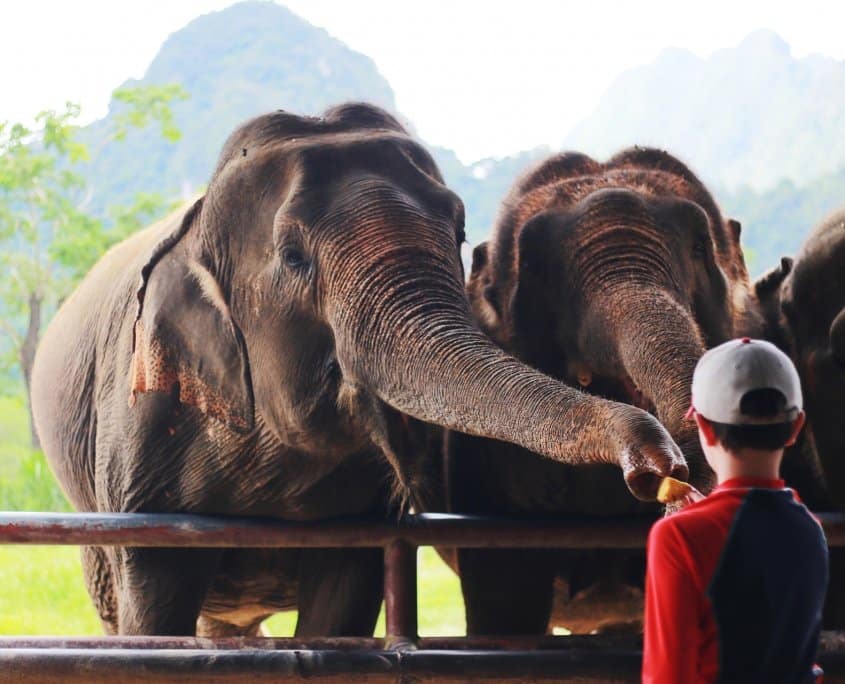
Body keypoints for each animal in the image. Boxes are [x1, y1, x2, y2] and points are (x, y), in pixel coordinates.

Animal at [31, 104, 684, 640]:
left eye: (460, 229)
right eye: (294, 257)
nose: (660, 462)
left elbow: (343, 602)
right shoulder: (140, 442)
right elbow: (154, 604)